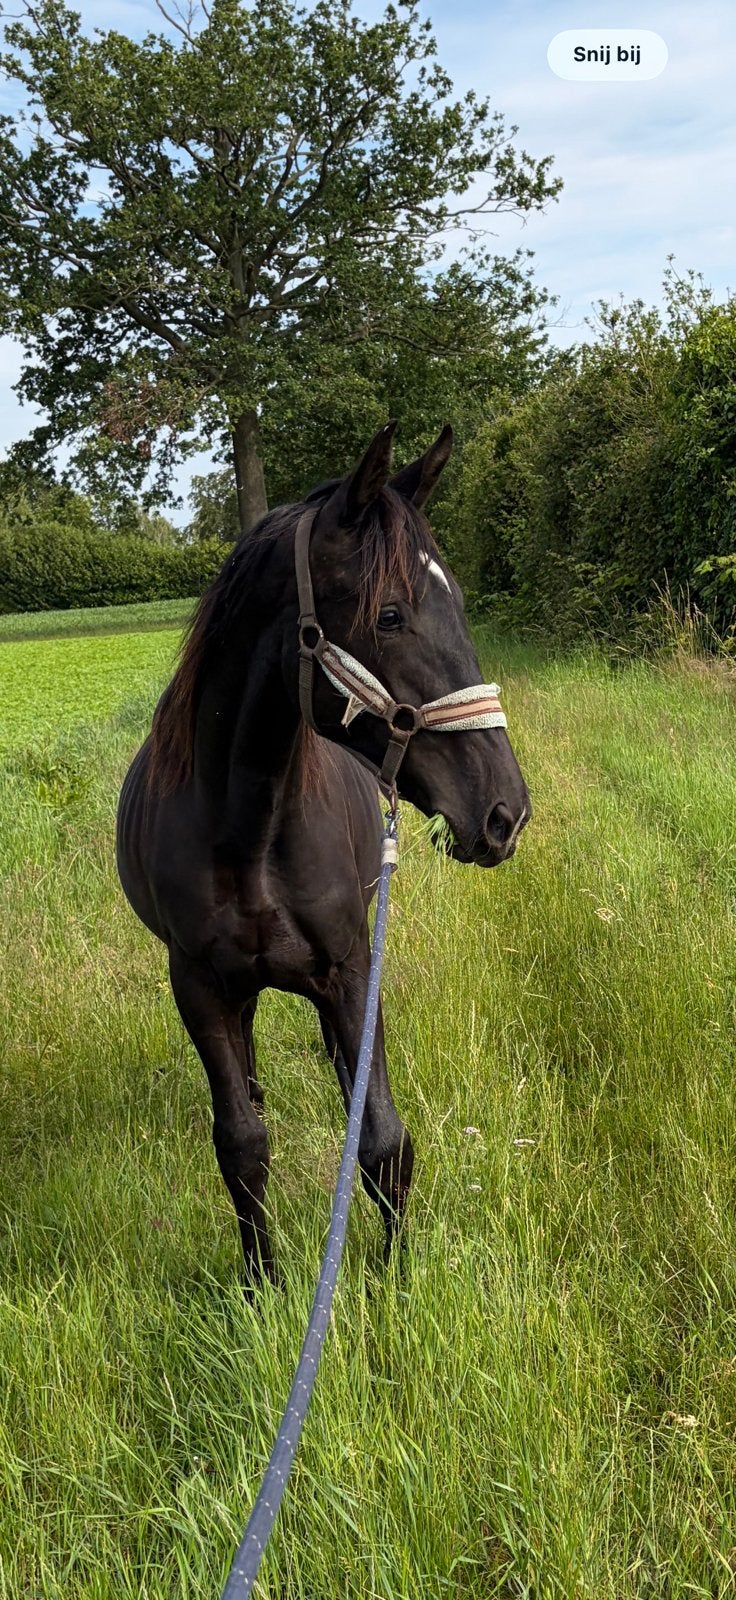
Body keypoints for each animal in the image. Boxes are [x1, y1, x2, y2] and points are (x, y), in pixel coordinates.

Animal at [116, 421, 531, 1286]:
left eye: (457, 602)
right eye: (392, 614)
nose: (505, 812)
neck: (248, 829)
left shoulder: (347, 971)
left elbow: (381, 1139)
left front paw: (393, 1276)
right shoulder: (198, 986)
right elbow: (241, 1143)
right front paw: (260, 1283)